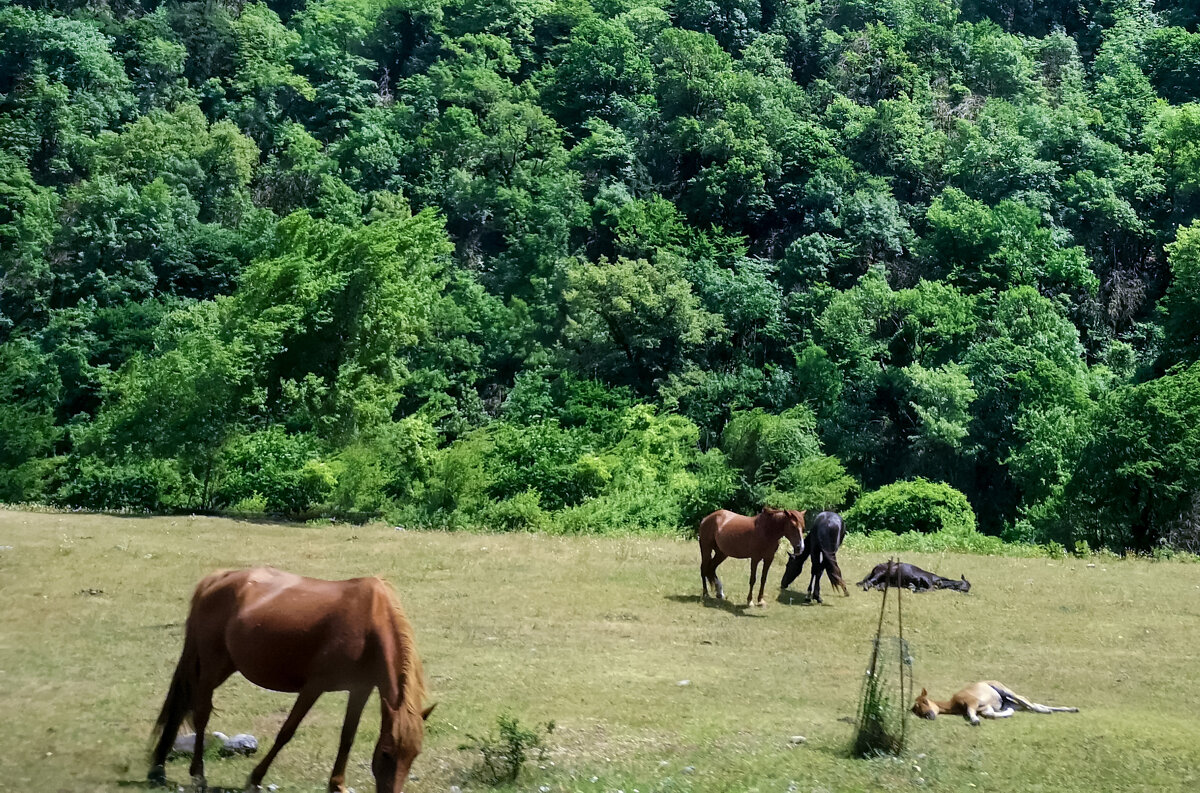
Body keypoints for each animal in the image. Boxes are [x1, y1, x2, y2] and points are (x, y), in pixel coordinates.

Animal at [147, 566, 434, 791]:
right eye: (386, 753)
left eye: (415, 755)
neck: (371, 624)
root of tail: (218, 579)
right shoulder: (314, 686)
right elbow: (286, 731)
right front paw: (255, 778)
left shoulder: (360, 689)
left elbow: (347, 738)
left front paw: (337, 785)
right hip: (212, 668)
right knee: (201, 714)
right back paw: (198, 775)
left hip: (222, 666)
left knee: (182, 706)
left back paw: (158, 767)